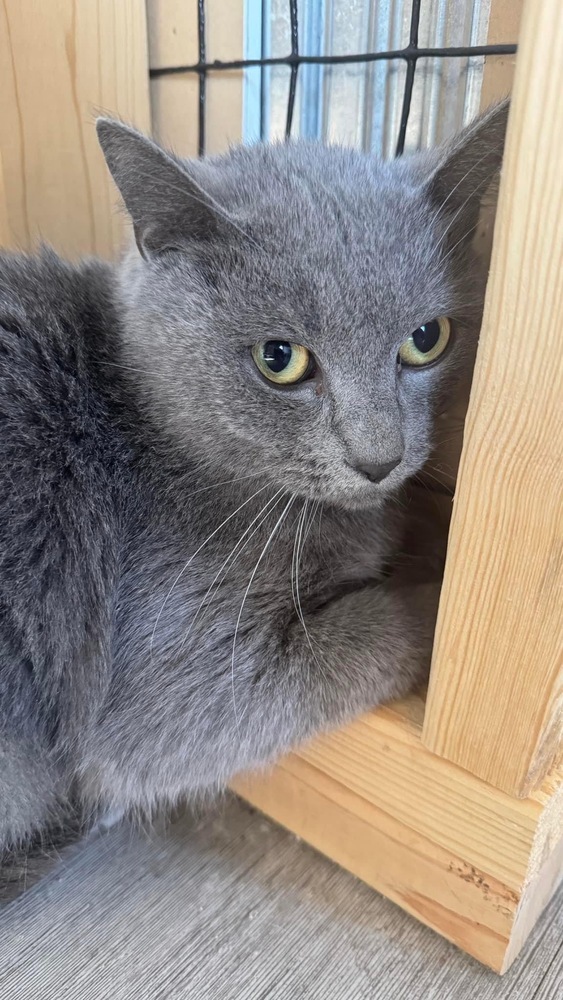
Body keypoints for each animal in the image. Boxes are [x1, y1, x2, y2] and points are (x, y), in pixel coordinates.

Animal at [0, 101, 508, 900]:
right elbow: (370, 625)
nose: (378, 459)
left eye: (427, 338)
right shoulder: (169, 676)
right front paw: (435, 603)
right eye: (280, 360)